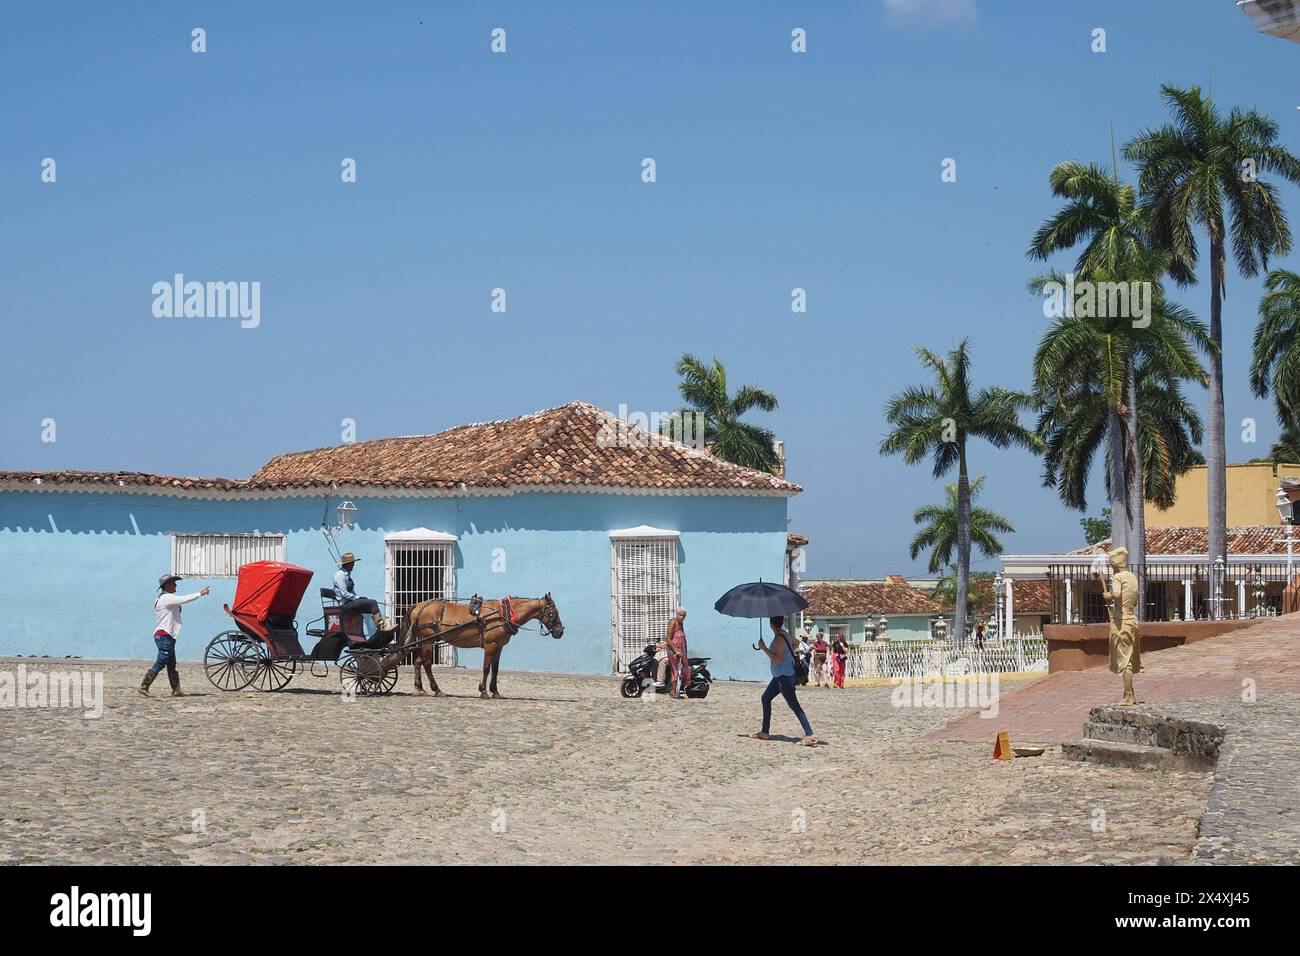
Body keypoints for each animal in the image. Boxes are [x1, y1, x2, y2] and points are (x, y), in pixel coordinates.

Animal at [387, 595, 566, 697]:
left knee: (417, 662)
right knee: (426, 664)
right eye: (553, 612)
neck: (503, 614)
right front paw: (484, 691)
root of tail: (419, 606)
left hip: (424, 640)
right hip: (427, 640)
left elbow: (495, 669)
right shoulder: (490, 645)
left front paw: (495, 691)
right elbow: (486, 668)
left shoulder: (499, 647)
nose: (560, 631)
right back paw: (436, 689)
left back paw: (420, 688)